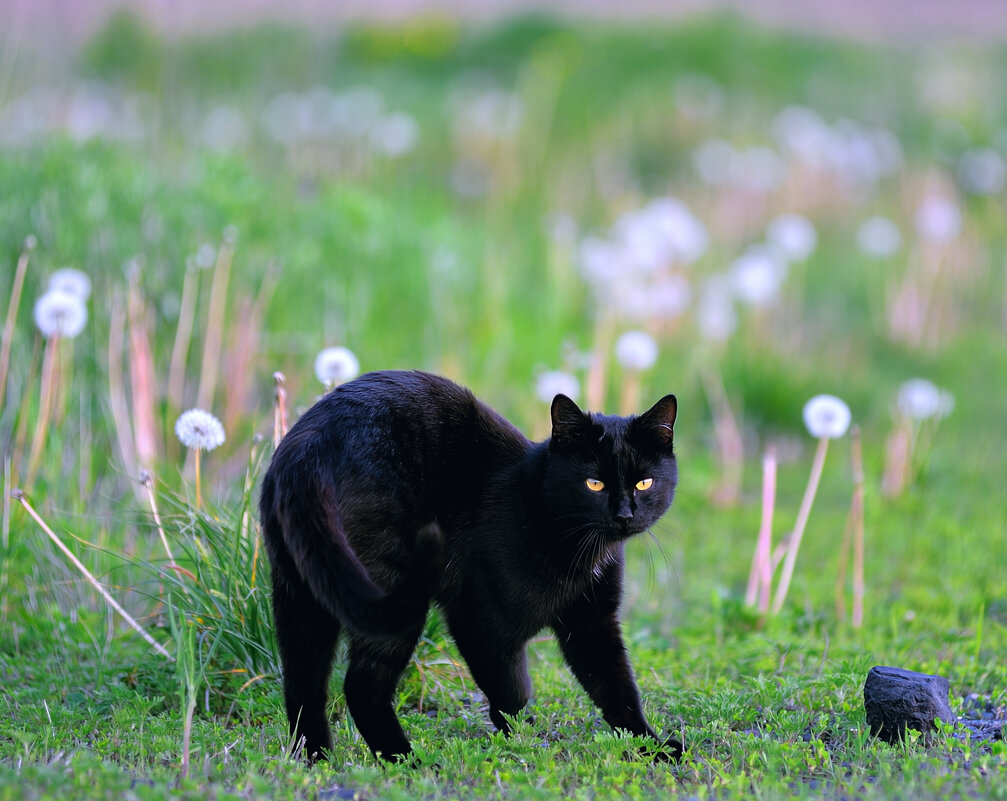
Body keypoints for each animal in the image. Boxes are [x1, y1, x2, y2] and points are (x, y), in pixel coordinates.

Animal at [259, 368, 684, 765]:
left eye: (644, 483)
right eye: (594, 484)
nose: (624, 515)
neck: (583, 549)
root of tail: (312, 443)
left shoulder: (592, 621)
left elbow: (616, 687)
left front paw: (654, 747)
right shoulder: (482, 620)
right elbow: (513, 691)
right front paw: (524, 742)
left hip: (302, 584)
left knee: (302, 680)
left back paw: (317, 759)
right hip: (390, 585)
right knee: (361, 685)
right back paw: (407, 761)